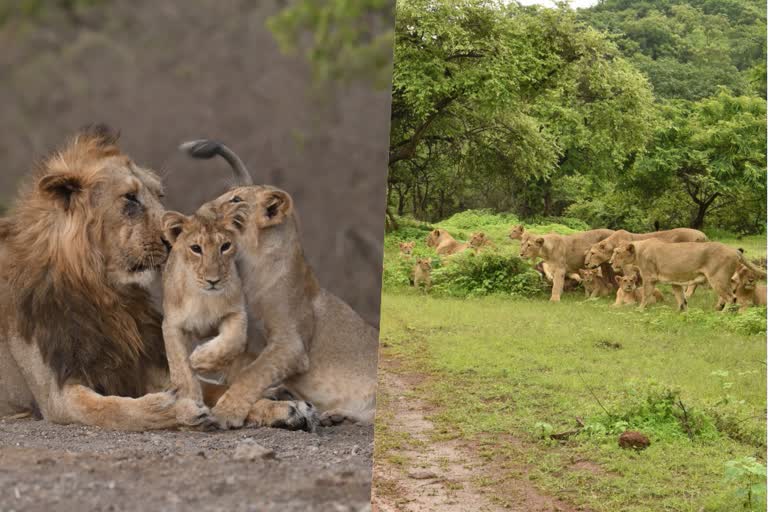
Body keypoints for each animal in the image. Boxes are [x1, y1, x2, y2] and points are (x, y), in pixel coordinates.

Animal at [0, 126, 207, 430]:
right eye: (130, 198)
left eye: (160, 195)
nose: (181, 236)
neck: (105, 293)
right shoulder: (56, 396)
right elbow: (113, 408)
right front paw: (178, 407)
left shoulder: (140, 360)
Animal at [180, 139, 378, 428]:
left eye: (236, 200)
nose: (200, 210)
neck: (248, 266)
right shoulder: (242, 334)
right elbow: (233, 357)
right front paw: (204, 359)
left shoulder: (291, 343)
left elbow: (252, 374)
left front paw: (227, 412)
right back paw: (332, 415)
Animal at [608, 240, 764, 312]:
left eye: (617, 252)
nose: (610, 262)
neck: (638, 251)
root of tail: (733, 250)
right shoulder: (675, 281)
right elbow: (681, 298)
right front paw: (681, 312)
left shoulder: (649, 277)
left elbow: (646, 295)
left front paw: (640, 309)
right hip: (724, 279)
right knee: (732, 294)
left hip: (717, 278)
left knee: (731, 297)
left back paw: (721, 313)